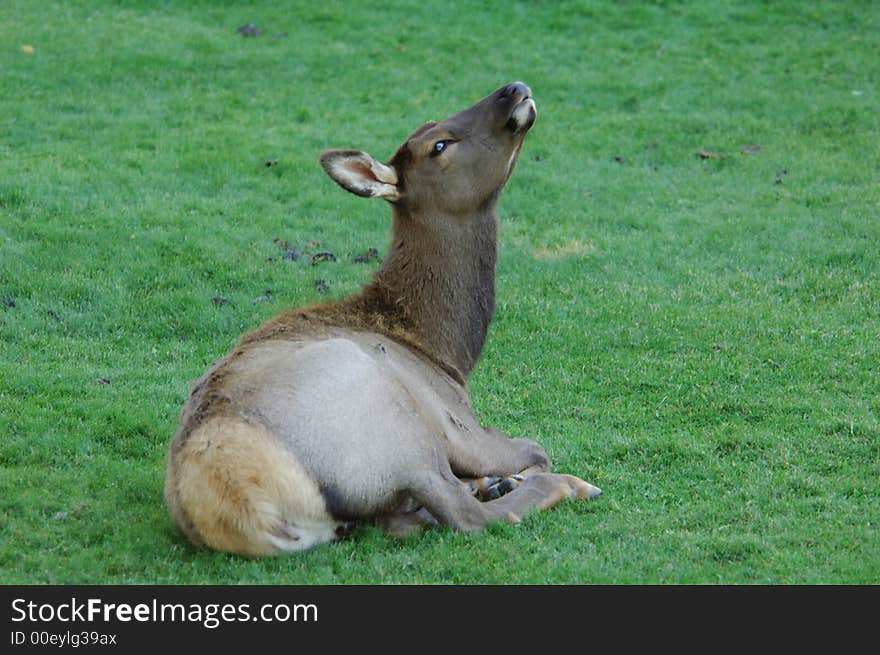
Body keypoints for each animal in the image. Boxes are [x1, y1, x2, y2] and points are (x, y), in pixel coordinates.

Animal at [165, 79, 600, 556]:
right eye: (439, 144)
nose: (514, 88)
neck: (445, 352)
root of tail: (242, 510)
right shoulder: (459, 424)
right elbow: (535, 447)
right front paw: (510, 476)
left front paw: (494, 480)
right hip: (395, 427)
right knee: (462, 514)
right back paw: (560, 485)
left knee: (402, 520)